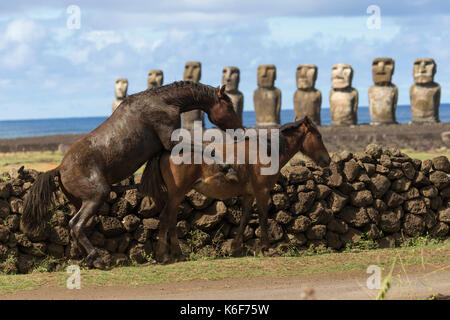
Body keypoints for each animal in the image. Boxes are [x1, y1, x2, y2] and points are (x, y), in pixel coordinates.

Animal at [20, 80, 243, 268]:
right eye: (229, 106)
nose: (241, 130)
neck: (163, 102)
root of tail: (60, 168)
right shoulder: (171, 141)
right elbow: (205, 148)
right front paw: (227, 167)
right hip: (96, 196)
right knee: (76, 225)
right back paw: (98, 260)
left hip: (80, 201)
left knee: (75, 228)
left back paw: (88, 260)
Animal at [148, 116, 330, 264]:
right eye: (319, 136)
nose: (327, 160)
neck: (267, 151)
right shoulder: (262, 192)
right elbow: (263, 217)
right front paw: (266, 248)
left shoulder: (249, 194)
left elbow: (244, 218)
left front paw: (235, 248)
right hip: (176, 195)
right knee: (166, 218)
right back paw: (164, 256)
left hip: (176, 196)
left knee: (171, 221)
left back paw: (178, 255)